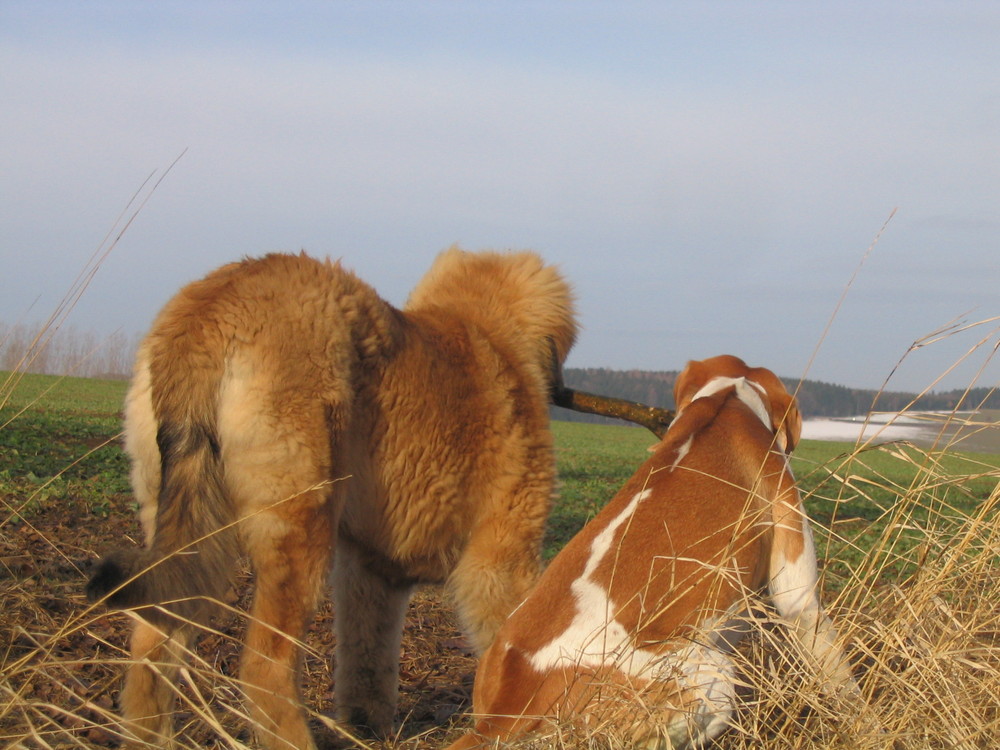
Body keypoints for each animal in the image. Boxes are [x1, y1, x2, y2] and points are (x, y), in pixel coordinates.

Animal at [90, 250, 584, 748]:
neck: (484, 328)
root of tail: (213, 309)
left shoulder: (370, 569)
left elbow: (367, 663)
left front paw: (366, 727)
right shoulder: (500, 555)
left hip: (183, 533)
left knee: (151, 650)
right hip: (299, 531)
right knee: (263, 665)